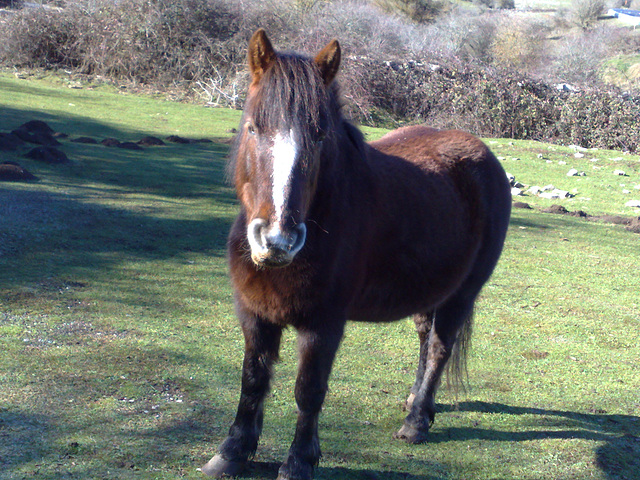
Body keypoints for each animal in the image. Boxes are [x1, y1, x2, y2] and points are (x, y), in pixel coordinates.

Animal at [202, 29, 512, 480]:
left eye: (319, 135)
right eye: (253, 127)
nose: (277, 239)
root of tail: (484, 154)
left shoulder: (323, 324)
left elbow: (308, 390)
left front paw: (300, 460)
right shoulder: (255, 314)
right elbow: (253, 379)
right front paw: (233, 450)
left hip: (463, 293)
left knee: (440, 347)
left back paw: (416, 422)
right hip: (429, 290)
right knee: (425, 339)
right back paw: (416, 403)